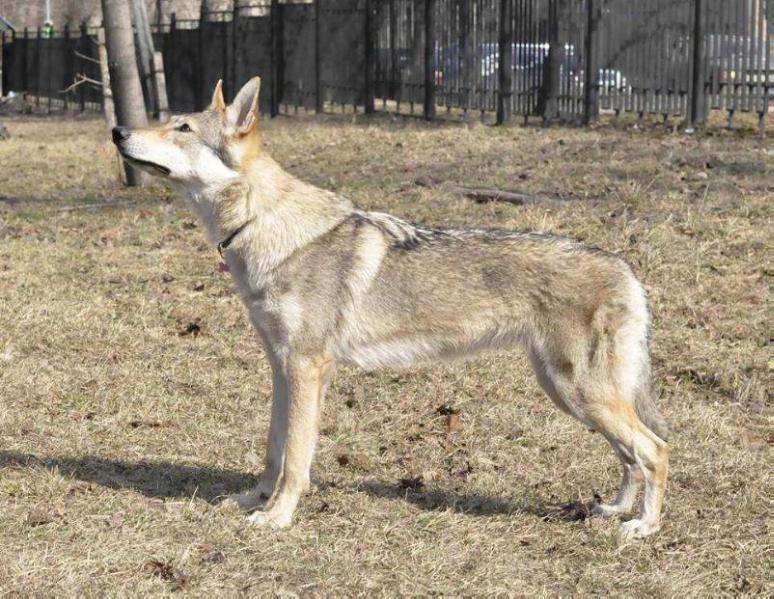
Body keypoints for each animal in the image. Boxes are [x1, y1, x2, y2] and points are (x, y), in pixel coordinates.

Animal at [110, 75, 672, 540]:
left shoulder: (307, 368)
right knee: (630, 454)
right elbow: (273, 450)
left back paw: (643, 526)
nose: (117, 130)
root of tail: (626, 269)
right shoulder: (281, 367)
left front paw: (279, 517)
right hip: (570, 394)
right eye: (166, 119)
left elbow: (296, 459)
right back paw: (615, 510)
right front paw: (254, 500)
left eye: (182, 128)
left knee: (655, 449)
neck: (263, 224)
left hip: (578, 392)